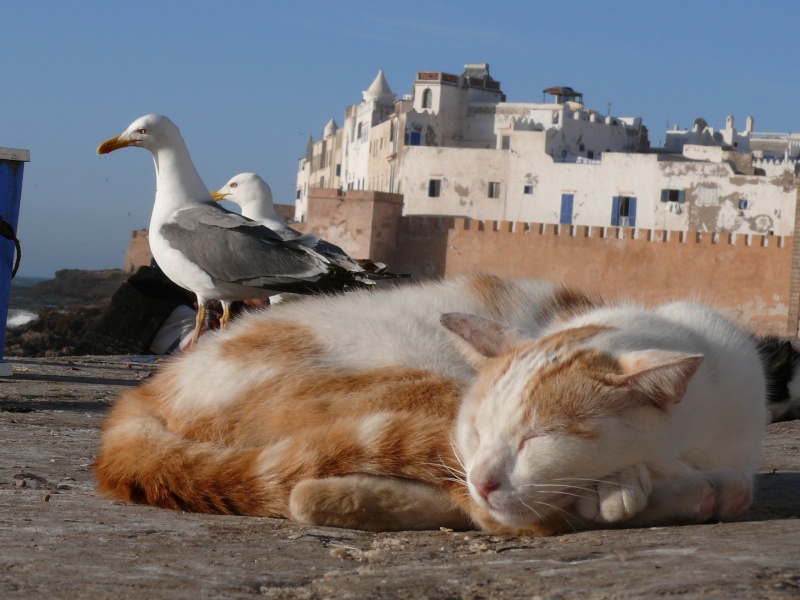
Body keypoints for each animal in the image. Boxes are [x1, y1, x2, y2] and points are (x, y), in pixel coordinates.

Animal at [95, 274, 768, 532]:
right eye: (479, 431)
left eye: (535, 439)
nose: (485, 472)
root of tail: (148, 390)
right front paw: (633, 486)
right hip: (412, 384)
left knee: (307, 494)